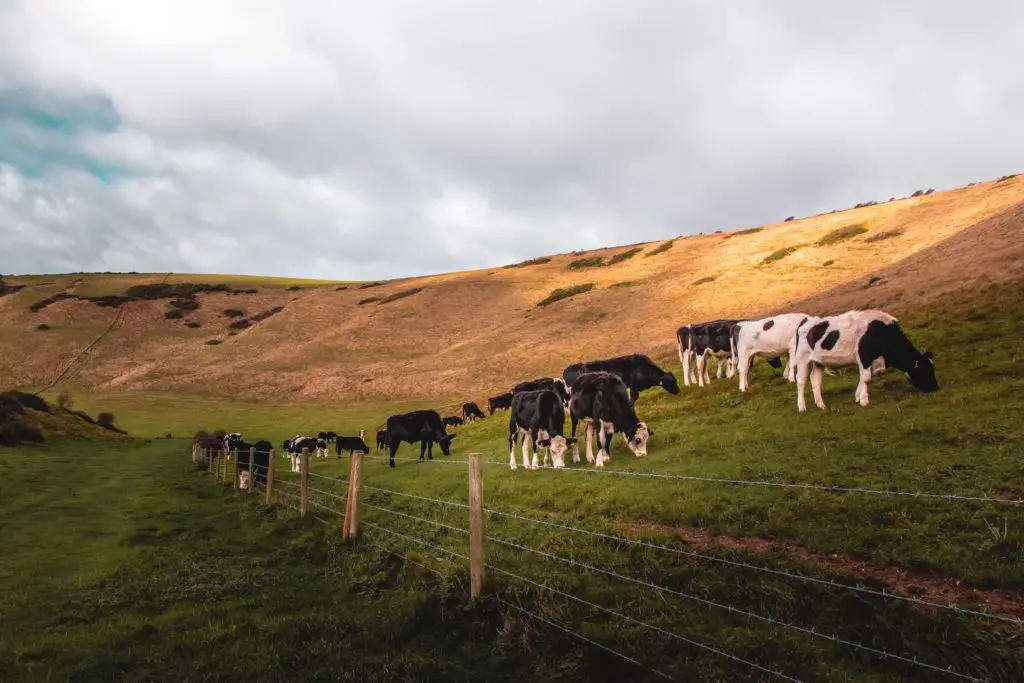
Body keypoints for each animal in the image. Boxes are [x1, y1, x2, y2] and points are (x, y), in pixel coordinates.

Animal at [790, 309, 937, 411]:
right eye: (925, 370)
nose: (935, 388)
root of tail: (806, 320)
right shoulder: (864, 356)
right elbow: (866, 378)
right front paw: (864, 400)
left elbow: (863, 378)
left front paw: (858, 396)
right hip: (802, 359)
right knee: (801, 381)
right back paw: (802, 407)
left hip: (818, 362)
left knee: (815, 381)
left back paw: (821, 405)